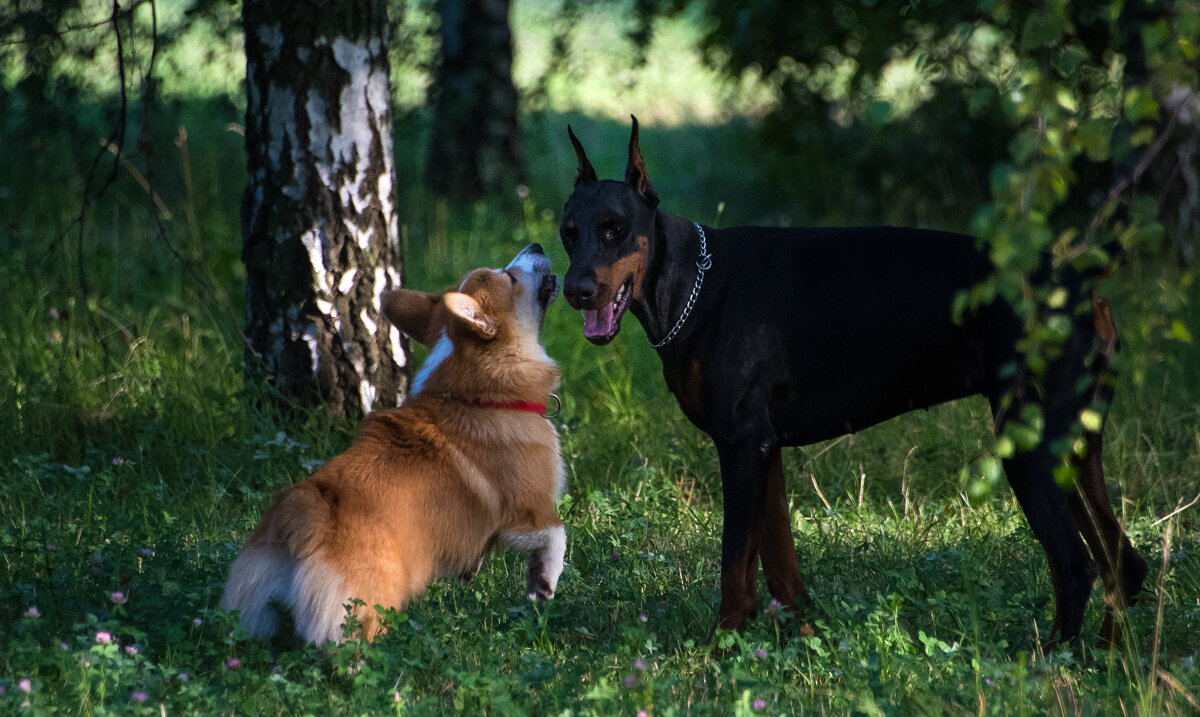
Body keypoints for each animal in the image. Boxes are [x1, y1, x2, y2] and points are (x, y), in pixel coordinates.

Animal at [220, 244, 566, 642]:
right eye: (510, 277)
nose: (536, 246)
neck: (480, 393)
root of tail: (305, 515)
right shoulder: (527, 510)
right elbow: (556, 536)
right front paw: (544, 585)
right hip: (364, 611)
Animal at [556, 116, 1147, 647]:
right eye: (569, 233)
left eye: (614, 227)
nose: (575, 290)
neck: (689, 284)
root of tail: (1083, 282)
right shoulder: (765, 449)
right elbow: (781, 569)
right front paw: (798, 645)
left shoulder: (742, 446)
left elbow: (735, 571)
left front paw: (717, 651)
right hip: (1076, 448)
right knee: (1124, 565)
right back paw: (1112, 656)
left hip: (1030, 446)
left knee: (1075, 565)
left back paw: (1047, 660)